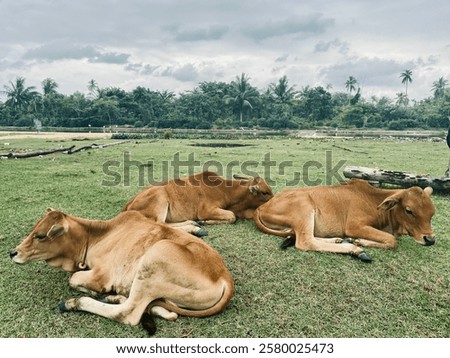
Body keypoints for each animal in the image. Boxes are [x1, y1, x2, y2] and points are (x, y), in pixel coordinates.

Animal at [121, 171, 272, 236]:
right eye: (265, 193)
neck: (226, 190)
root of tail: (129, 204)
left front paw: (202, 222)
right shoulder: (206, 210)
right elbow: (232, 216)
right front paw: (205, 222)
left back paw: (193, 223)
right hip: (160, 197)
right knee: (159, 224)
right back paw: (195, 228)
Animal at [255, 180, 434, 262]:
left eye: (432, 213)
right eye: (409, 210)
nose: (430, 239)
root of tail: (261, 207)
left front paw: (358, 241)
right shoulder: (354, 226)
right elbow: (391, 240)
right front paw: (360, 242)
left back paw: (338, 240)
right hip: (305, 208)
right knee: (305, 241)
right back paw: (355, 249)